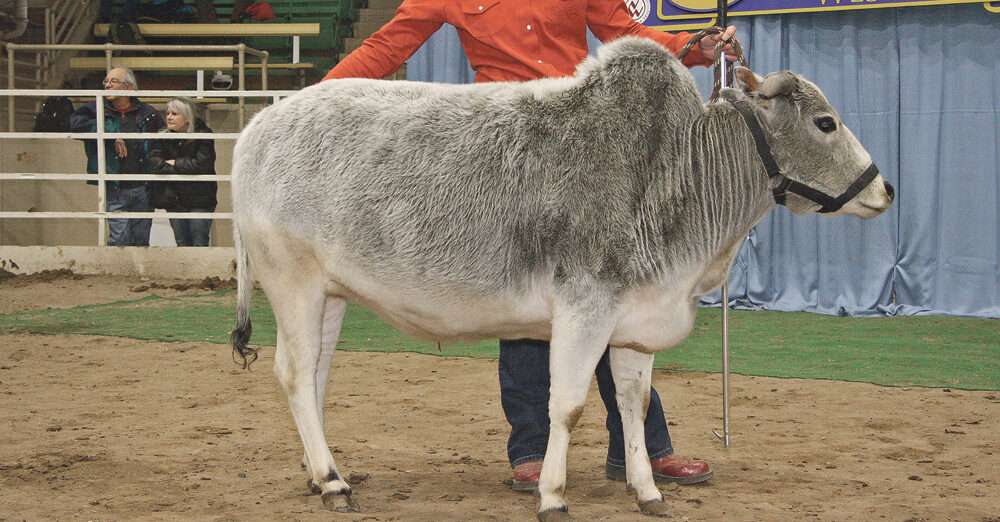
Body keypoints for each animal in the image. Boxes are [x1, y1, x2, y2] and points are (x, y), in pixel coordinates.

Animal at [230, 35, 896, 516]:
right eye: (825, 123)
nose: (885, 188)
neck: (676, 169)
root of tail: (258, 126)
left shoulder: (632, 321)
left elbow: (632, 403)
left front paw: (647, 489)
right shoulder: (585, 307)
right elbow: (568, 404)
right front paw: (552, 493)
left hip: (330, 295)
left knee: (316, 376)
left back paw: (320, 473)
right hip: (291, 282)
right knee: (294, 375)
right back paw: (333, 482)